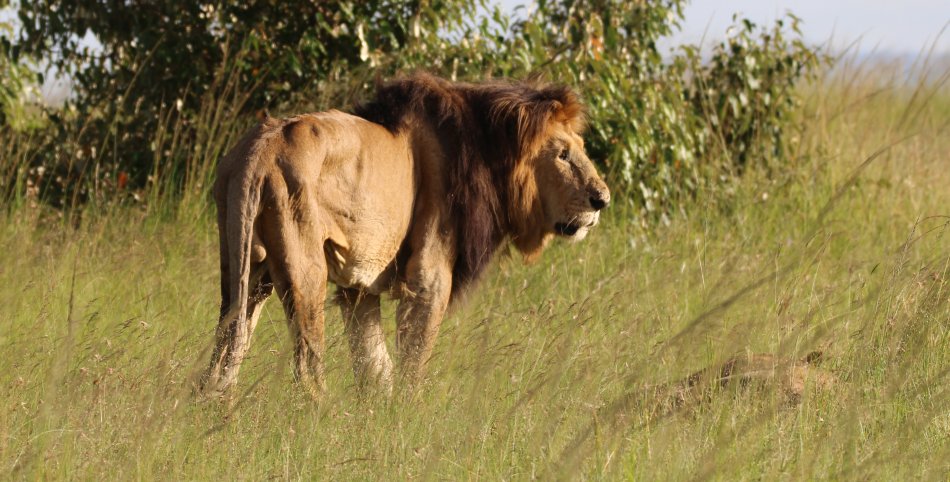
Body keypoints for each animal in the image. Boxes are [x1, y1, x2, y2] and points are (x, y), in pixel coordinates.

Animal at [203, 71, 608, 396]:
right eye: (563, 154)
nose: (601, 199)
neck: (488, 154)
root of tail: (259, 148)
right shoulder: (429, 279)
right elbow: (413, 361)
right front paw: (407, 415)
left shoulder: (358, 289)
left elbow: (374, 363)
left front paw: (376, 415)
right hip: (304, 270)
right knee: (306, 366)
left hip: (244, 270)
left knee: (225, 349)